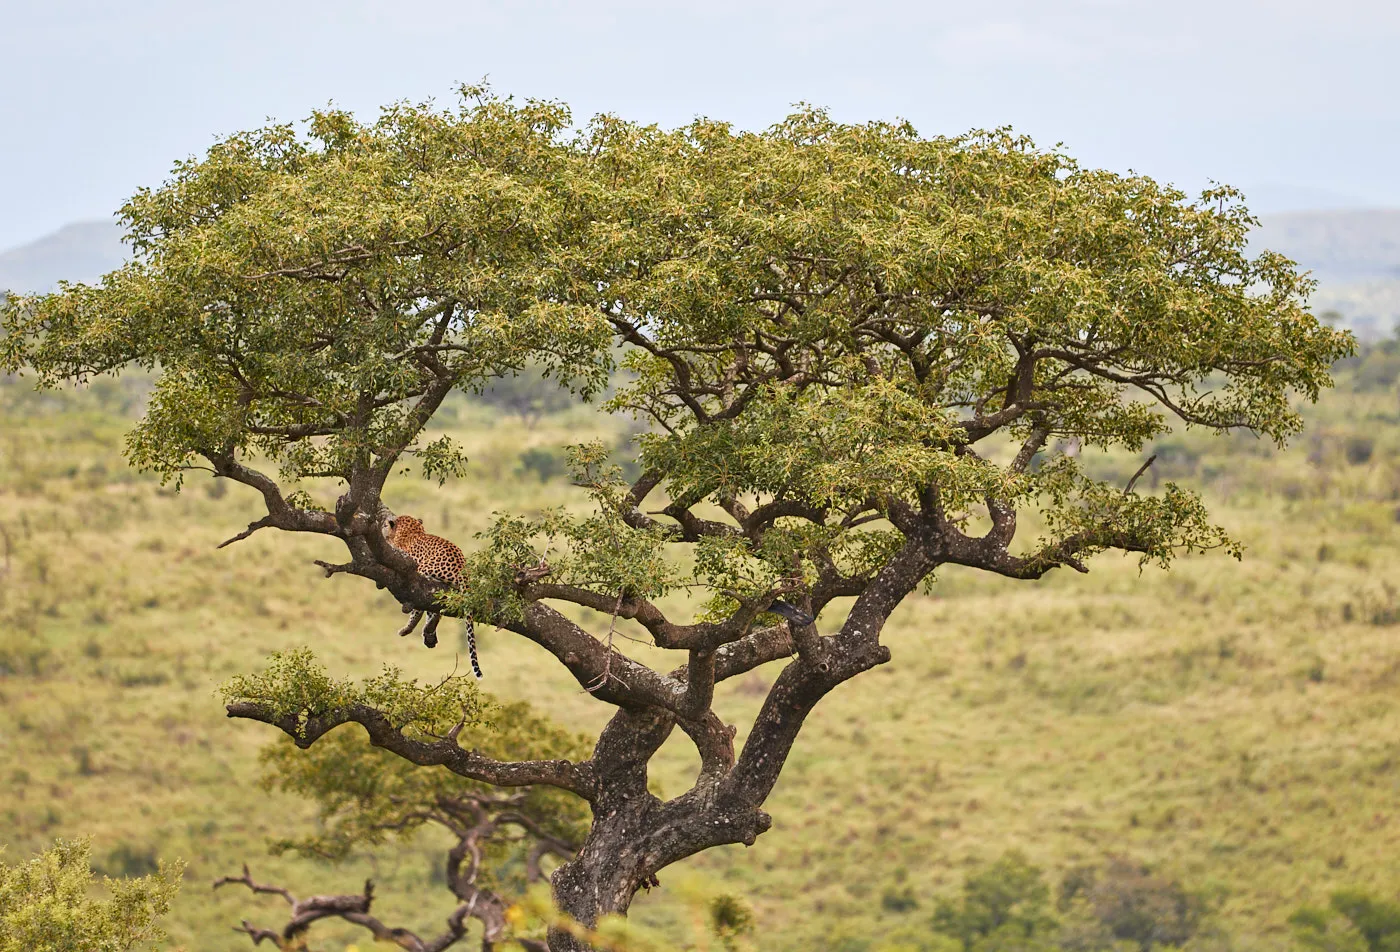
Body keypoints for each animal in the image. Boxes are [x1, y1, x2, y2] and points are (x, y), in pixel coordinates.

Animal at [384, 514, 482, 677]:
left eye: (386, 525)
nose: (382, 528)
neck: (411, 531)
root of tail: (461, 567)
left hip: (422, 571)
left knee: (421, 606)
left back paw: (409, 628)